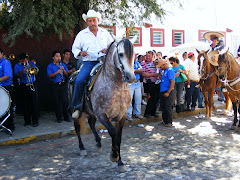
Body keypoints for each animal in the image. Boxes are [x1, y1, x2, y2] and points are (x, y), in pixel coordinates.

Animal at [71, 37, 136, 172]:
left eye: (134, 54)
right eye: (120, 54)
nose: (130, 77)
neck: (115, 85)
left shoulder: (121, 116)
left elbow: (119, 137)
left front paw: (120, 162)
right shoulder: (102, 114)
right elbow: (112, 132)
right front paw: (114, 155)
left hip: (91, 112)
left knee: (91, 123)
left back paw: (98, 143)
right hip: (75, 111)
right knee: (77, 127)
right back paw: (82, 148)